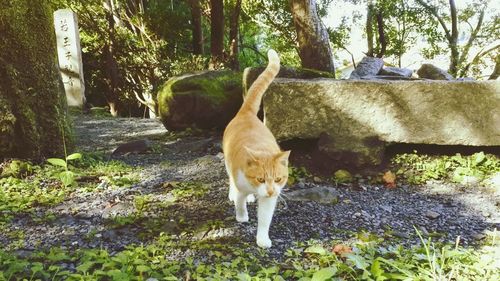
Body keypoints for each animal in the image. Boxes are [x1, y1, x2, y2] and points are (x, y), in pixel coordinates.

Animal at [223, 49, 290, 246]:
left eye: (278, 179)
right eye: (260, 179)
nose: (270, 191)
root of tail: (246, 113)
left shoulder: (270, 199)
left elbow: (265, 218)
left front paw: (262, 239)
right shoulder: (240, 183)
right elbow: (239, 203)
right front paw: (242, 217)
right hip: (227, 163)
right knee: (230, 181)